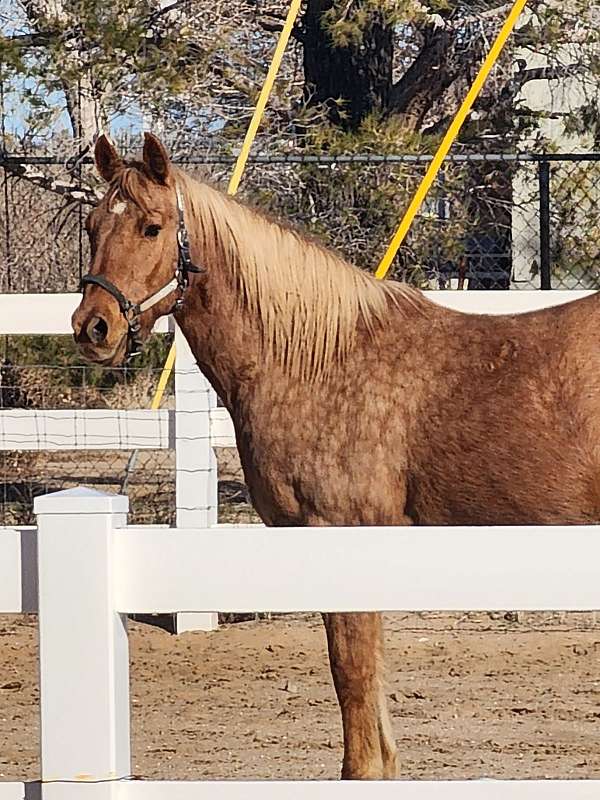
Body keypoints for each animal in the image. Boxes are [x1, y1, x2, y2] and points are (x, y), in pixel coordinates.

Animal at [71, 133, 600, 780]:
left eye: (151, 226)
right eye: (93, 226)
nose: (93, 327)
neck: (319, 362)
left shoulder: (343, 533)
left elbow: (353, 677)